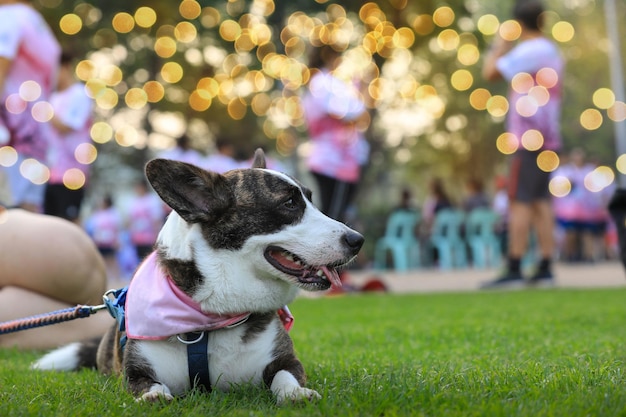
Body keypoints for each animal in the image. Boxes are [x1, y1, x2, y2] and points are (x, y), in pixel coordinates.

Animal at [33, 149, 360, 404]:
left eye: (311, 199)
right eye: (290, 203)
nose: (358, 240)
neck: (216, 314)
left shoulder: (286, 362)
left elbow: (285, 376)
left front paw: (295, 394)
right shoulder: (137, 372)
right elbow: (148, 384)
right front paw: (154, 395)